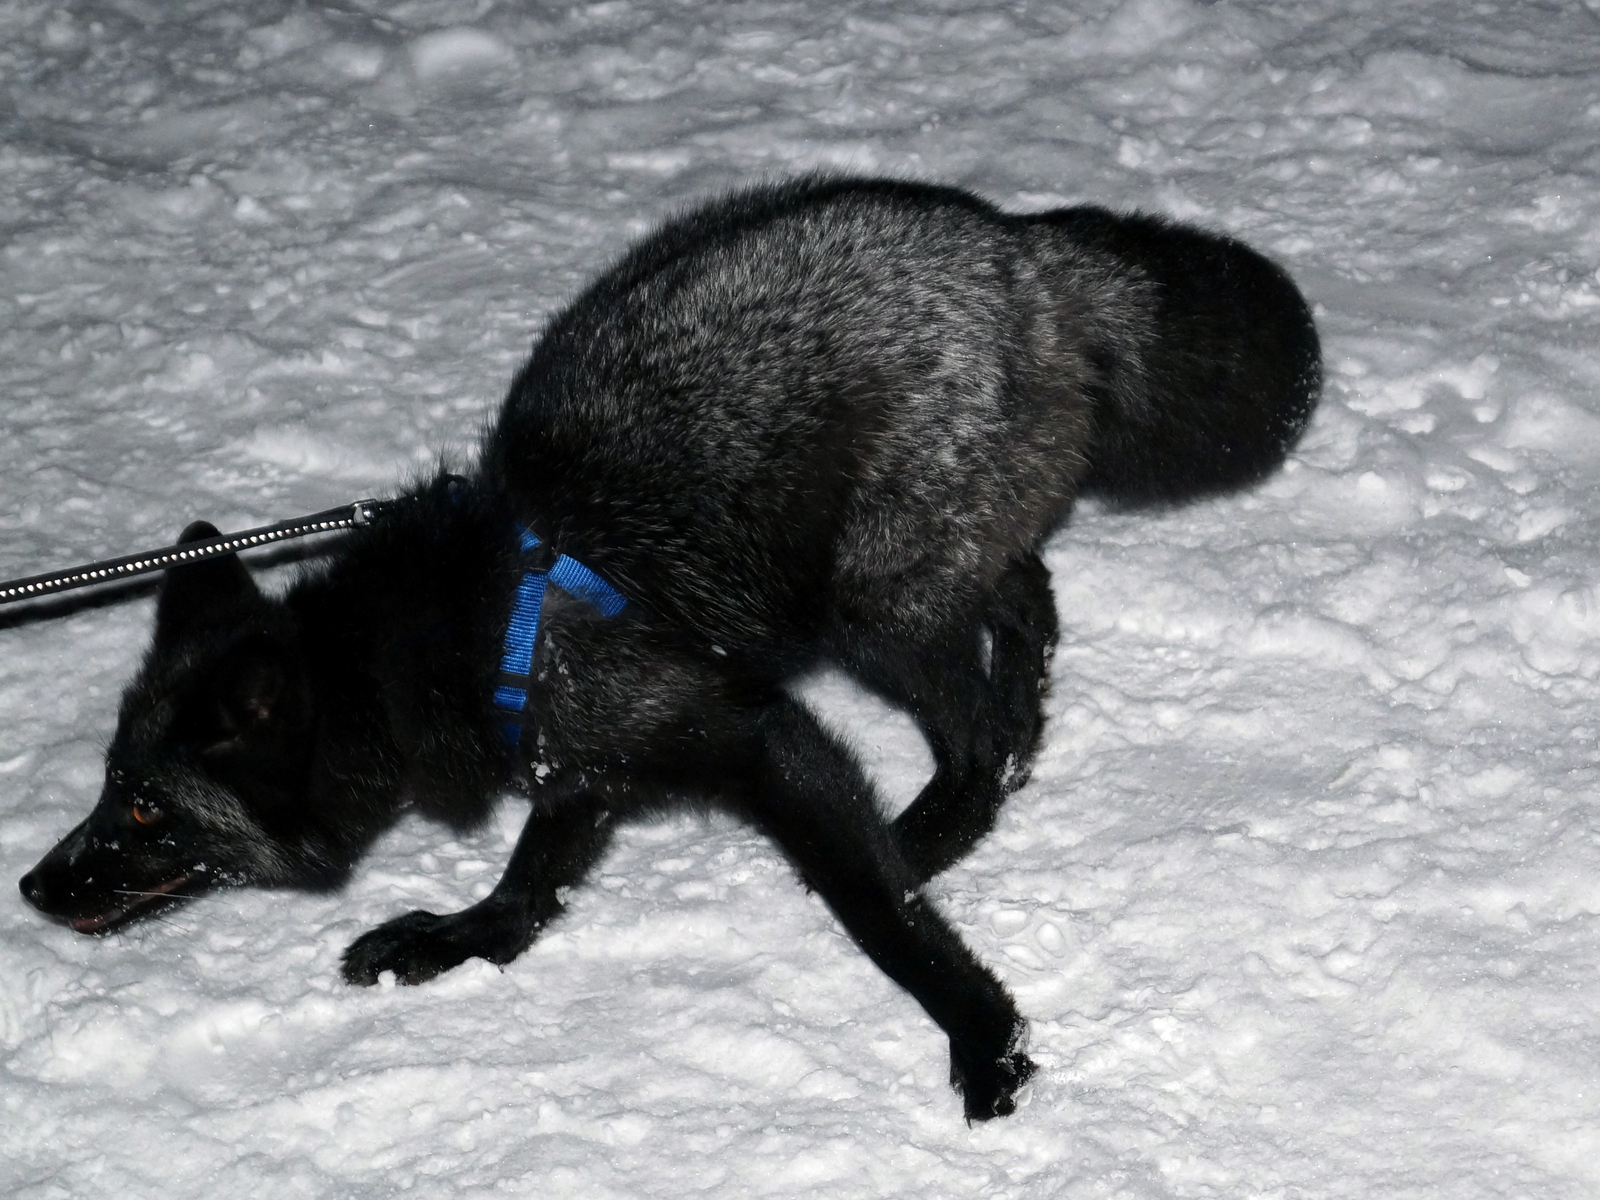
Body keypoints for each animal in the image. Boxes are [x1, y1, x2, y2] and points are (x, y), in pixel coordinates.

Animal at [18, 180, 1318, 1126]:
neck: (460, 632)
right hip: (914, 567)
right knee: (1025, 603)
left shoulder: (750, 735)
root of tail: (1027, 249)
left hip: (873, 606)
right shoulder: (583, 754)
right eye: (108, 785)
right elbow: (536, 872)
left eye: (145, 808)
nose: (34, 887)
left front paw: (981, 1034)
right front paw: (467, 937)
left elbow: (881, 922)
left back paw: (926, 835)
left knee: (978, 735)